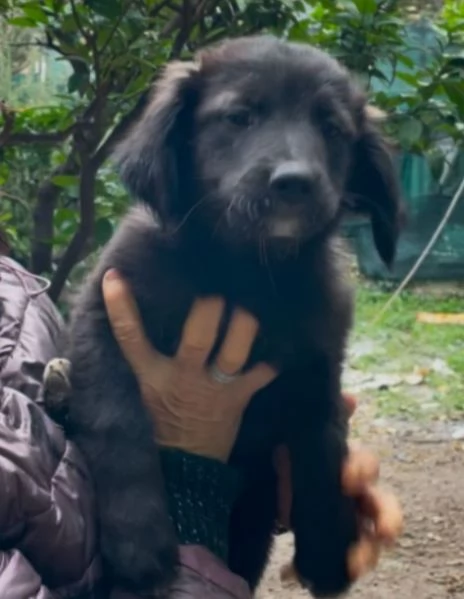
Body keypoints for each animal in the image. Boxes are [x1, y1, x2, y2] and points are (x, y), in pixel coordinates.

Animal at [64, 36, 402, 599]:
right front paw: (139, 541)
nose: (295, 182)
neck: (244, 272)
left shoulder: (316, 368)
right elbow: (118, 421)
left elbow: (323, 453)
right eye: (239, 116)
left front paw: (329, 547)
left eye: (332, 130)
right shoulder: (104, 315)